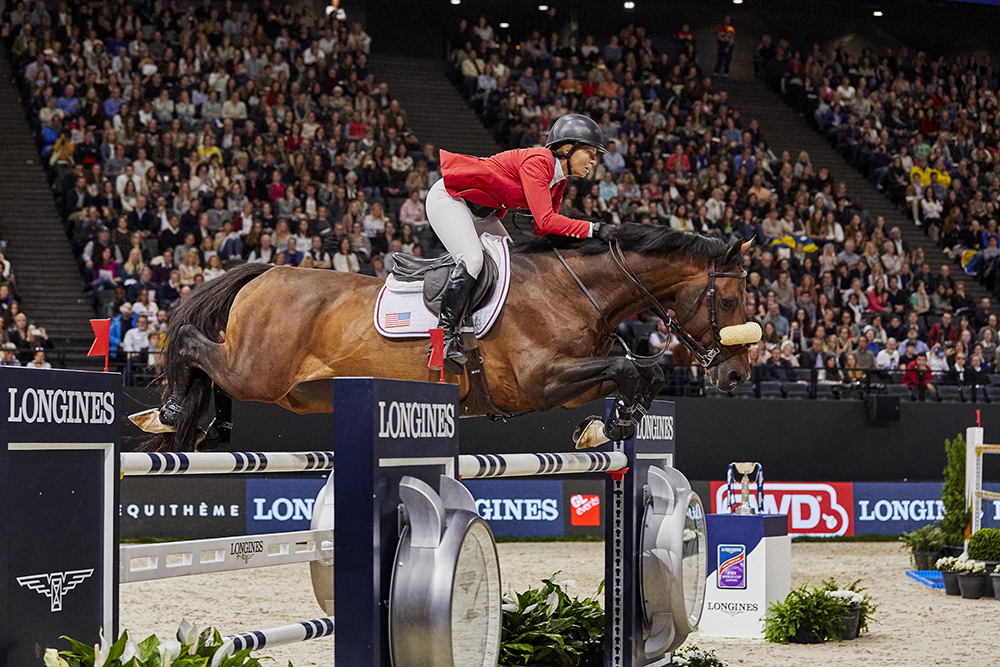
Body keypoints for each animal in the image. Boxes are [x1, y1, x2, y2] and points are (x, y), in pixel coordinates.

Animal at [133, 226, 756, 454]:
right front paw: (616, 423)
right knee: (189, 341)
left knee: (211, 368)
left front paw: (613, 424)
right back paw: (170, 413)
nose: (738, 376)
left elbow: (643, 370)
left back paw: (207, 426)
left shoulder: (570, 381)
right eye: (729, 302)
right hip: (258, 371)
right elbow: (630, 368)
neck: (572, 287)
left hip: (288, 387)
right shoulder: (539, 382)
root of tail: (264, 272)